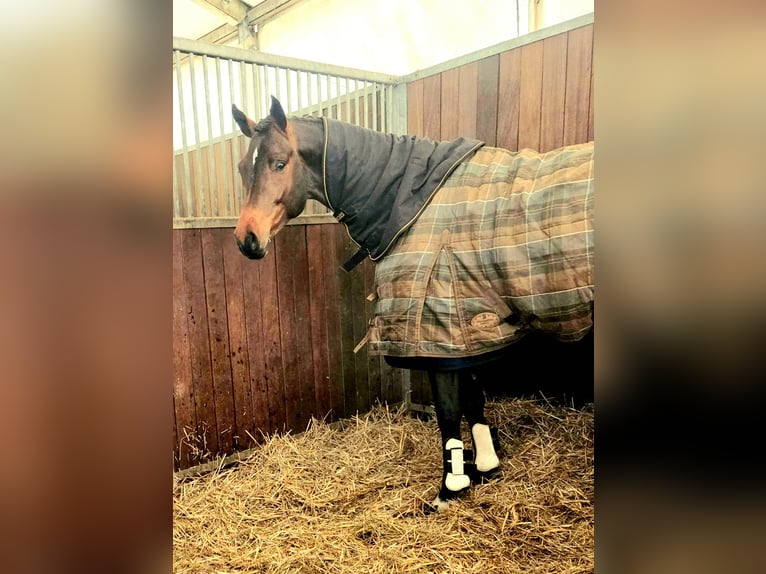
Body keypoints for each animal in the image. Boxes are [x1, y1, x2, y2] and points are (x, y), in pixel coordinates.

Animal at [232, 96, 594, 512]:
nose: (247, 239)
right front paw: (486, 468)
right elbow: (474, 400)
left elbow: (450, 412)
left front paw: (450, 490)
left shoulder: (437, 332)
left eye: (278, 162)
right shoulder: (464, 328)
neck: (413, 202)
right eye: (243, 167)